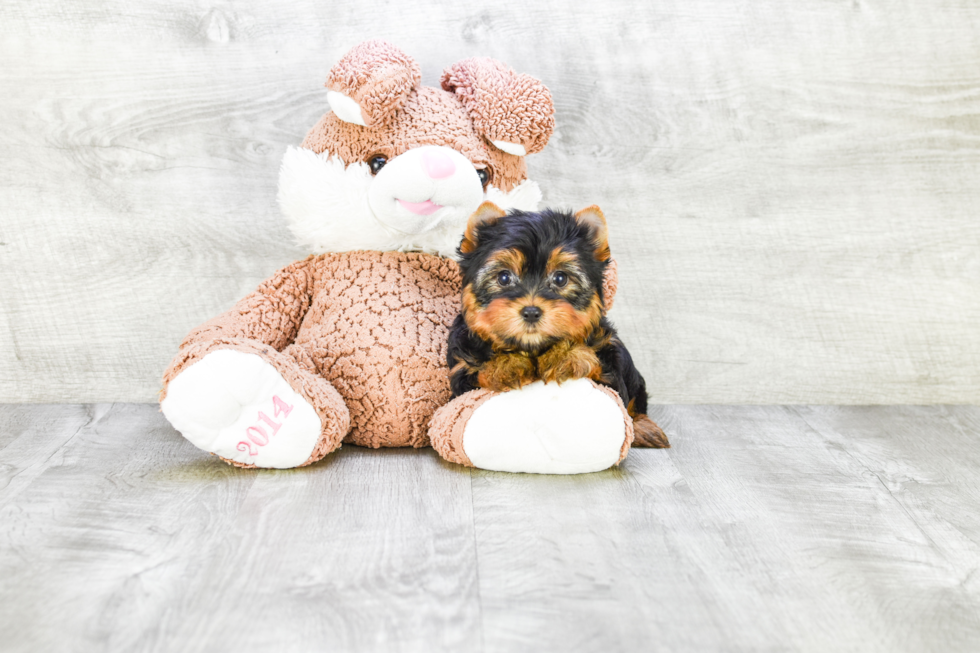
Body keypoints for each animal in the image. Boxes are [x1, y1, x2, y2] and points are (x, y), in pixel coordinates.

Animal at [448, 202, 668, 448]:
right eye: (504, 277)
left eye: (560, 278)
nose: (531, 312)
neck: (534, 348)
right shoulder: (462, 372)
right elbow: (478, 373)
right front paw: (505, 364)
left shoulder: (610, 366)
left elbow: (604, 376)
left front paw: (565, 355)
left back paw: (643, 427)